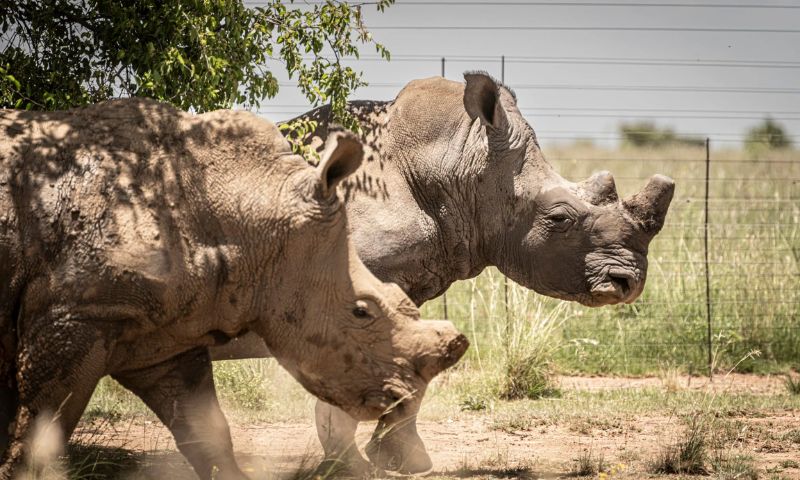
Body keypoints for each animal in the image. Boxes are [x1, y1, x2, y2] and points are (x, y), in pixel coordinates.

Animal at [0, 98, 469, 480]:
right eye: (362, 311)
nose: (402, 400)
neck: (247, 215)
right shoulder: (74, 317)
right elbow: (40, 430)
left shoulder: (162, 333)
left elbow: (206, 428)